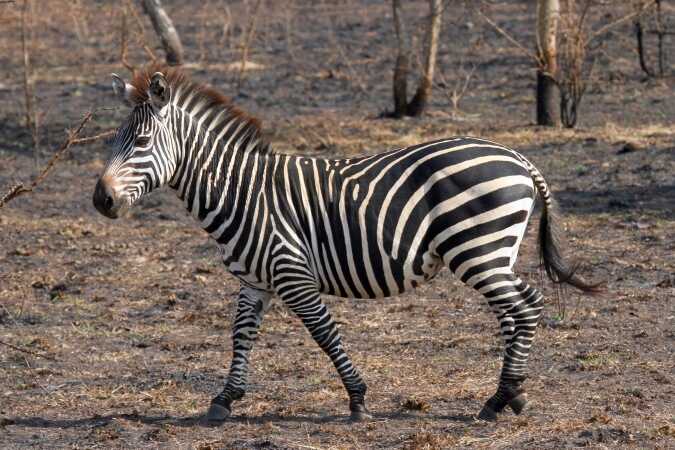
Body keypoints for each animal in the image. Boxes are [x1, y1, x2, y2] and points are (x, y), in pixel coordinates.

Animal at [93, 64, 597, 422]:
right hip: (493, 252)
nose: (101, 200)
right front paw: (225, 399)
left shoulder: (292, 273)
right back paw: (512, 395)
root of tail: (517, 157)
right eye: (113, 140)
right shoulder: (255, 280)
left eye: (141, 141)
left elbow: (325, 333)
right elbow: (241, 335)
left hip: (478, 248)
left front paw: (357, 399)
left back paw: (500, 399)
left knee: (527, 306)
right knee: (514, 312)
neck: (242, 192)